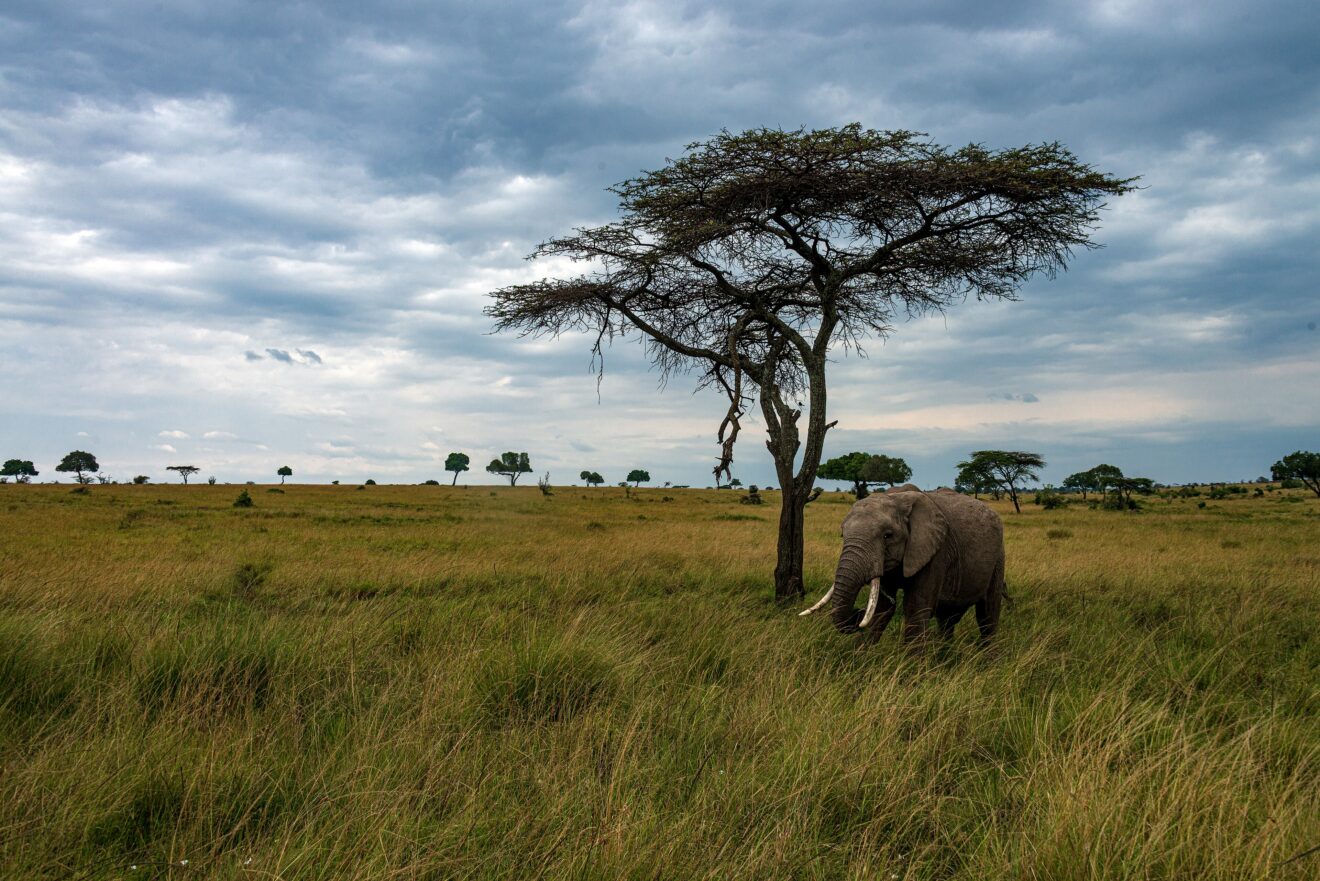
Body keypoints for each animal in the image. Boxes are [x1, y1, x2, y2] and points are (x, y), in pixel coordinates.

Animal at [800, 484, 1006, 648]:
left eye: (887, 536)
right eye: (843, 535)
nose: (857, 613)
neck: (897, 497)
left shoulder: (935, 552)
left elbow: (915, 608)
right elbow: (882, 609)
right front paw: (862, 657)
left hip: (998, 558)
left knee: (987, 615)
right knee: (947, 619)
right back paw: (944, 657)